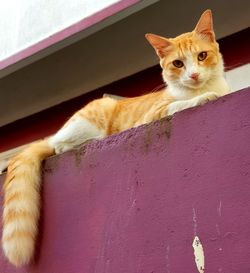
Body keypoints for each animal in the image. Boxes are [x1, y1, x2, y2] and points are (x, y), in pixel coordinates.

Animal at [0, 9, 229, 266]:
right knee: (61, 146)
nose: (194, 74)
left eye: (202, 56)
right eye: (178, 64)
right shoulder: (153, 115)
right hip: (93, 115)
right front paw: (202, 98)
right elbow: (180, 105)